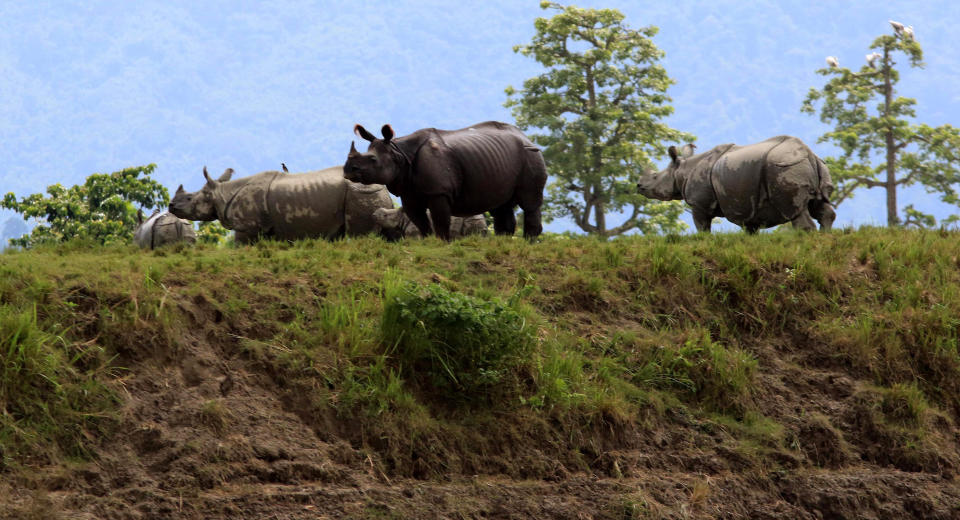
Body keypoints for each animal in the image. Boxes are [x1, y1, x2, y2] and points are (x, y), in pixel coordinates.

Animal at [167, 166, 392, 243]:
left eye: (190, 198)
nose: (171, 206)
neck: (221, 193)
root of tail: (384, 190)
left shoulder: (247, 227)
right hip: (367, 195)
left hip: (359, 194)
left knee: (360, 235)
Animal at [640, 135, 836, 233]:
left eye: (655, 177)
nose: (638, 186)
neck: (682, 171)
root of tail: (808, 153)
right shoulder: (749, 207)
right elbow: (750, 231)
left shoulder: (699, 204)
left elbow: (702, 227)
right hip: (815, 166)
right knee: (820, 207)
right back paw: (823, 240)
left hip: (785, 166)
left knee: (796, 212)